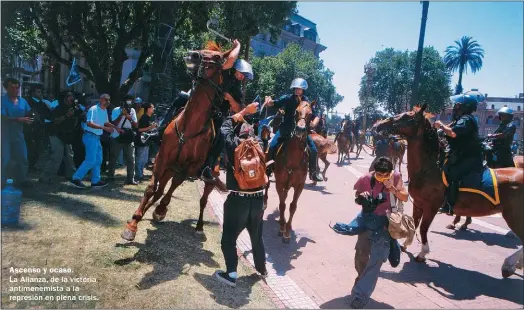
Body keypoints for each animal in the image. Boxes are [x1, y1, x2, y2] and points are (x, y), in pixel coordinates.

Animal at [122, 44, 232, 241]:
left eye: (218, 57)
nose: (192, 55)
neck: (189, 126)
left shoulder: (189, 167)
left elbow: (173, 188)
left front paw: (160, 209)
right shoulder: (163, 157)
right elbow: (152, 188)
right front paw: (133, 223)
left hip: (208, 180)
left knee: (203, 200)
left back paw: (198, 225)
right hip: (169, 168)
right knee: (159, 190)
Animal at [264, 100, 314, 243]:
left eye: (310, 114)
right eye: (296, 111)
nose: (300, 129)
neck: (293, 158)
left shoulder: (299, 186)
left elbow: (292, 206)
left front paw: (287, 231)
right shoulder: (279, 183)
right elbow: (282, 205)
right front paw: (282, 228)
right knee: (267, 186)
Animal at [374, 104, 520, 278]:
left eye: (406, 117)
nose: (378, 124)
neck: (429, 169)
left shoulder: (431, 207)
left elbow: (423, 228)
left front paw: (423, 253)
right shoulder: (418, 204)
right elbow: (414, 224)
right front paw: (406, 243)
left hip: (514, 217)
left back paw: (509, 264)